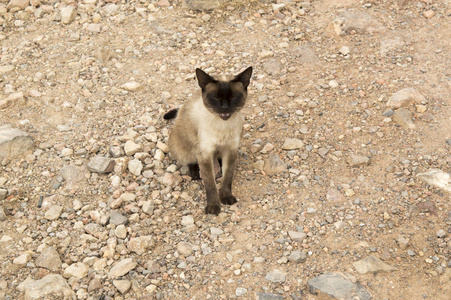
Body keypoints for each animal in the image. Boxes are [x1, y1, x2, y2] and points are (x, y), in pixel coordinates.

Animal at [163, 67, 254, 214]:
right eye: (216, 97)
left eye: (233, 97)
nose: (224, 108)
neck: (223, 127)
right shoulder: (205, 154)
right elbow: (210, 184)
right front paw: (213, 207)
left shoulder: (230, 150)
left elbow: (228, 177)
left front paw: (226, 198)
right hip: (184, 147)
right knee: (190, 160)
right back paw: (195, 173)